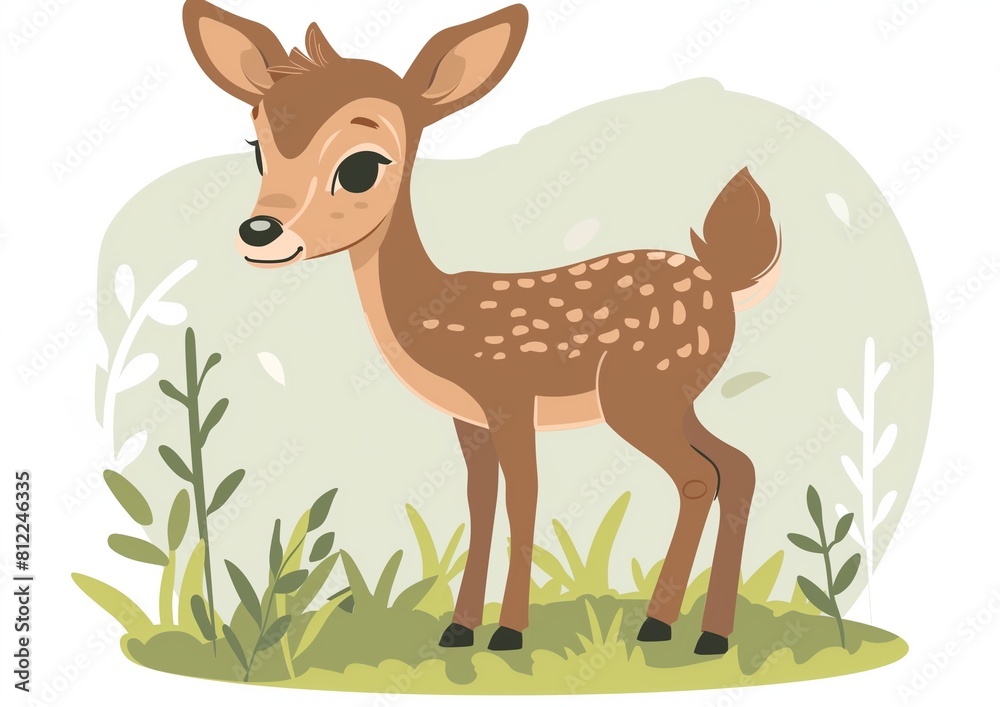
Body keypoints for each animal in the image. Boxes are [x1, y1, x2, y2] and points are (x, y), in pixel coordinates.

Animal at [183, 0, 781, 654]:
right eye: (258, 149)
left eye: (363, 164)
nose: (260, 232)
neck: (433, 309)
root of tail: (722, 278)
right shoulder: (467, 416)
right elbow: (481, 502)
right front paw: (459, 628)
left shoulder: (507, 393)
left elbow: (524, 496)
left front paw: (508, 632)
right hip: (672, 394)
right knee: (737, 466)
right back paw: (702, 631)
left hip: (638, 390)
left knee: (700, 476)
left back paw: (670, 626)